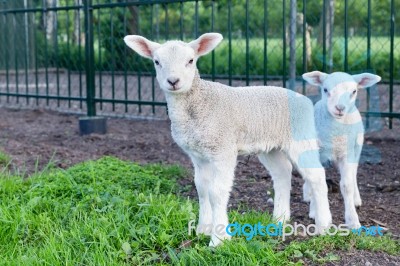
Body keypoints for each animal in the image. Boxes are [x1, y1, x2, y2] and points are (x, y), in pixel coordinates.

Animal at [125, 33, 332, 247]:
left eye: (190, 61)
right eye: (157, 62)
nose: (173, 81)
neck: (197, 103)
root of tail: (305, 99)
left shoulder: (223, 150)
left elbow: (216, 191)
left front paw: (219, 239)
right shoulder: (198, 155)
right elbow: (202, 188)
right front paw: (202, 229)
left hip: (301, 136)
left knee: (316, 176)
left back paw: (323, 225)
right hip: (270, 146)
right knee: (282, 172)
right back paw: (279, 220)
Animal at [304, 70, 382, 229]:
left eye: (354, 91)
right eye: (325, 89)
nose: (340, 108)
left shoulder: (347, 154)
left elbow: (347, 185)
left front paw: (353, 220)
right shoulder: (316, 152)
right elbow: (317, 182)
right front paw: (315, 211)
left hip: (357, 148)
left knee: (354, 173)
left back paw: (356, 199)